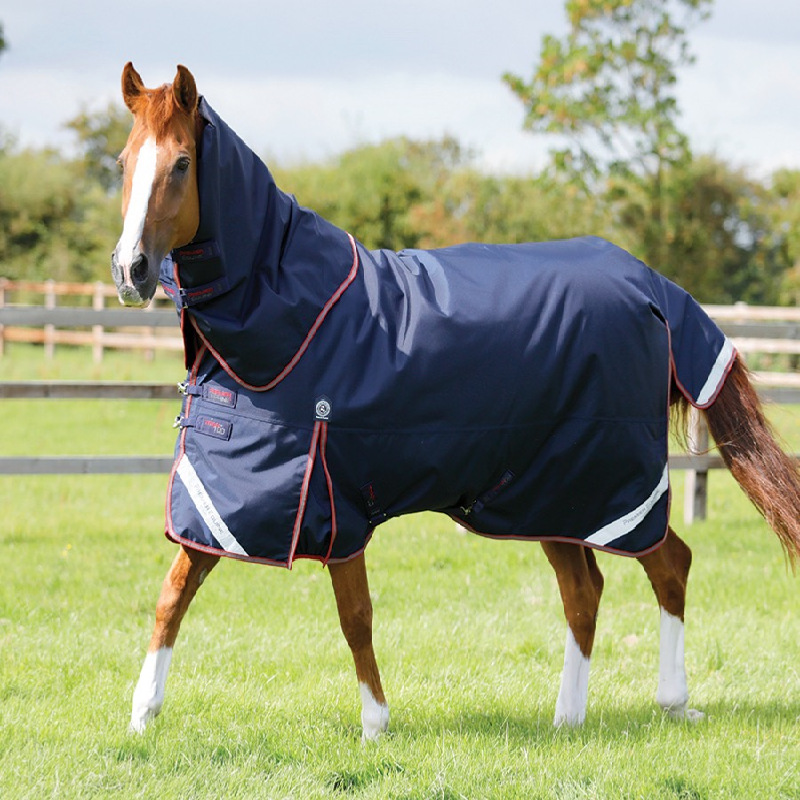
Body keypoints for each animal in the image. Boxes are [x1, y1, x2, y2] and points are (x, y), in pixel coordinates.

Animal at [113, 63, 800, 741]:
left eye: (181, 163)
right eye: (123, 160)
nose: (131, 270)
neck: (293, 316)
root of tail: (651, 284)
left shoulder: (335, 500)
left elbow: (354, 614)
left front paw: (375, 724)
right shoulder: (227, 498)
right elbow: (173, 595)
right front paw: (142, 716)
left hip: (605, 486)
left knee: (667, 565)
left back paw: (671, 702)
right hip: (552, 497)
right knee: (587, 590)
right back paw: (568, 718)